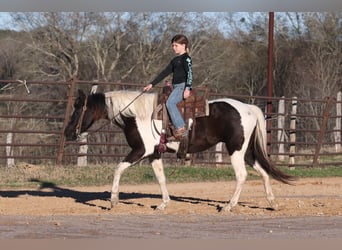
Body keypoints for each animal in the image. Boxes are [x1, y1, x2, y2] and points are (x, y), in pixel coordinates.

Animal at [64, 89, 294, 211]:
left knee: (242, 175)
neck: (136, 115)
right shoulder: (154, 153)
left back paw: (229, 206)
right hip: (245, 151)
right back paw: (272, 203)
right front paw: (163, 204)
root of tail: (249, 109)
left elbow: (118, 168)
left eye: (77, 109)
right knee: (263, 172)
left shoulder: (140, 150)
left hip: (236, 150)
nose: (67, 133)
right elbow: (161, 178)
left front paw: (113, 200)